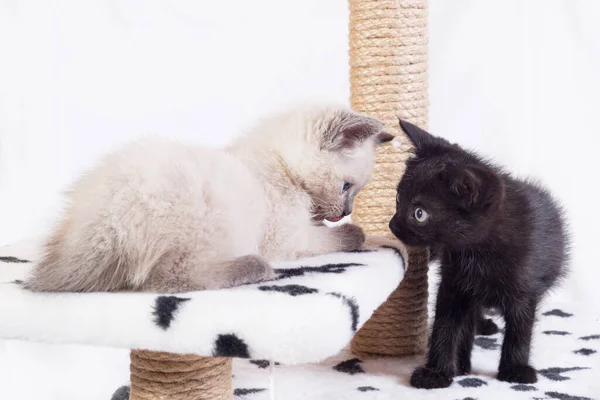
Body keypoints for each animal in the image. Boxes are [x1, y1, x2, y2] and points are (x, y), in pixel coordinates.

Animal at [25, 104, 394, 292]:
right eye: (347, 187)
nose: (344, 211)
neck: (279, 165)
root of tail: (101, 226)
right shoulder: (288, 239)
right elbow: (342, 237)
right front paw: (354, 230)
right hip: (215, 219)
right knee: (167, 279)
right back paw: (254, 267)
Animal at [392, 119, 568, 388]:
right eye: (398, 199)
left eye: (419, 213)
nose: (392, 225)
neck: (477, 252)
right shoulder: (453, 285)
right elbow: (445, 327)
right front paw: (437, 372)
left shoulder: (525, 290)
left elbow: (520, 329)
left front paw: (515, 369)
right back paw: (464, 358)